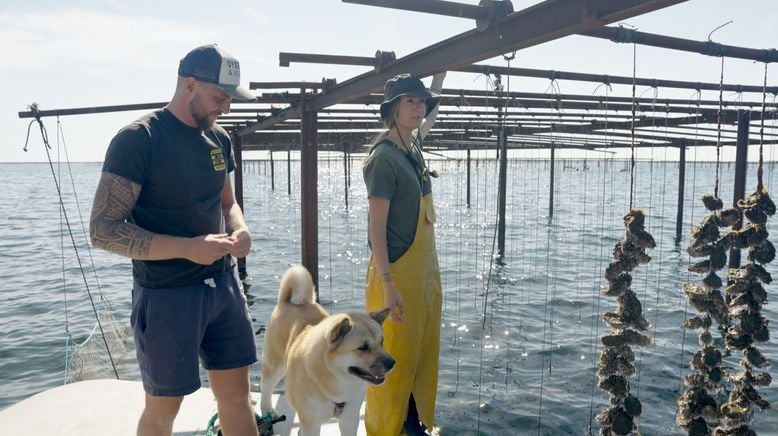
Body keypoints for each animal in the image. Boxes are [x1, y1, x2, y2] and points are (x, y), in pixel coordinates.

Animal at [260, 266, 394, 436]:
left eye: (381, 342)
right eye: (363, 347)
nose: (392, 363)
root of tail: (288, 302)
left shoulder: (349, 419)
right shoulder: (311, 423)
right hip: (275, 364)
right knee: (266, 386)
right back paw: (267, 411)